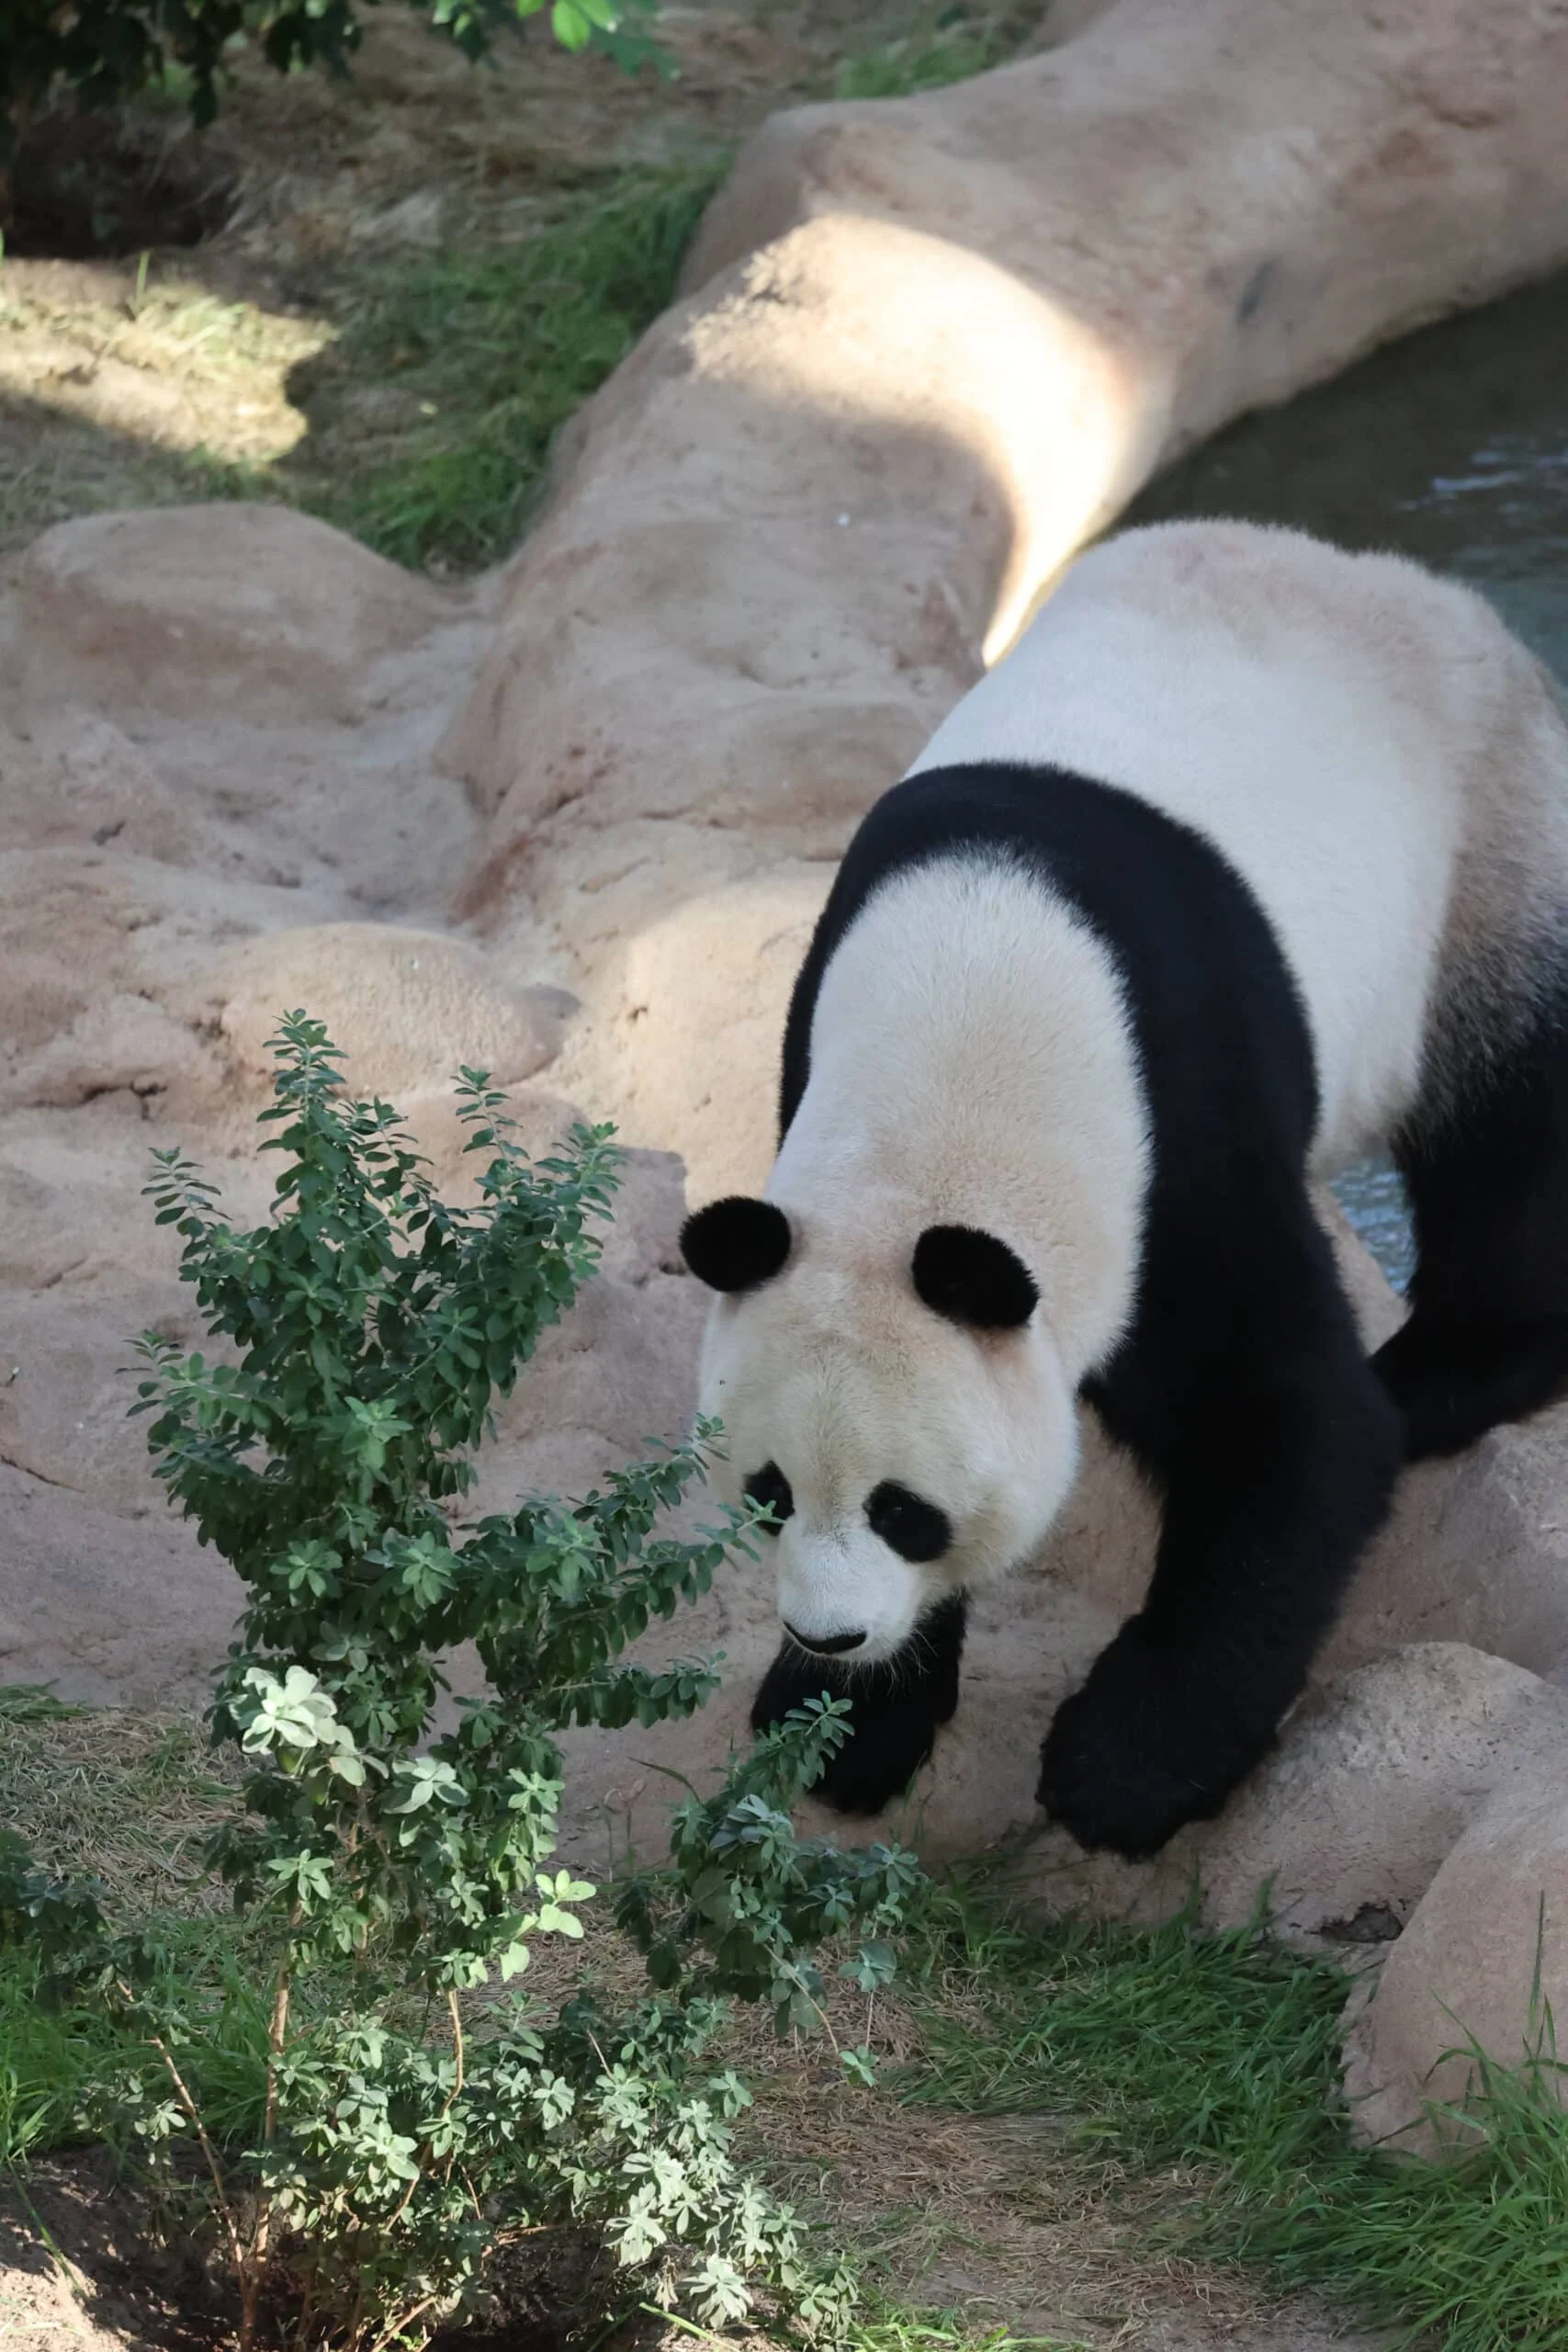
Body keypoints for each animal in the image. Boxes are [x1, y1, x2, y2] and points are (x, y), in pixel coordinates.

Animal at [678, 518, 1568, 1862]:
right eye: (767, 1491)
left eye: (905, 1511)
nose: (828, 1631)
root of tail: (1392, 575)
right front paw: (842, 1720)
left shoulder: (1182, 1145)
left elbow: (1292, 1424)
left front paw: (1120, 1769)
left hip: (1483, 863)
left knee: (1505, 1119)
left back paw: (1452, 1364)